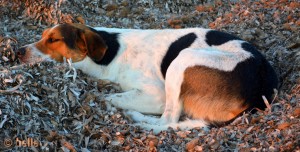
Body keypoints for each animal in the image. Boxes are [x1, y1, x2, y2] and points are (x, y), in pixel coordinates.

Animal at [17, 23, 278, 132]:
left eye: (54, 40)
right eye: (42, 35)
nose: (18, 51)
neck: (108, 50)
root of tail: (261, 91)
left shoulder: (156, 95)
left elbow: (109, 98)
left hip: (182, 60)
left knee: (167, 120)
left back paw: (137, 118)